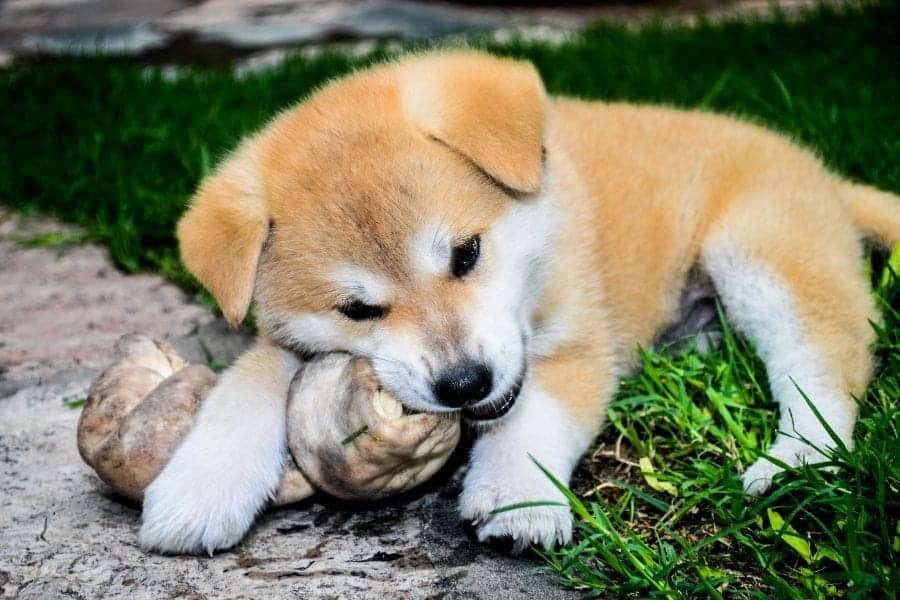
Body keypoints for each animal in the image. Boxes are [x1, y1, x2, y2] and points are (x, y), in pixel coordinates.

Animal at [137, 50, 896, 552]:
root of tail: (823, 175)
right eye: (357, 311)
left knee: (825, 370)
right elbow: (245, 386)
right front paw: (199, 487)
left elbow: (535, 416)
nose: (464, 383)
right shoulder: (284, 342)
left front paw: (514, 497)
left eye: (466, 253)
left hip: (762, 254)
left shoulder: (579, 343)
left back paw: (793, 462)